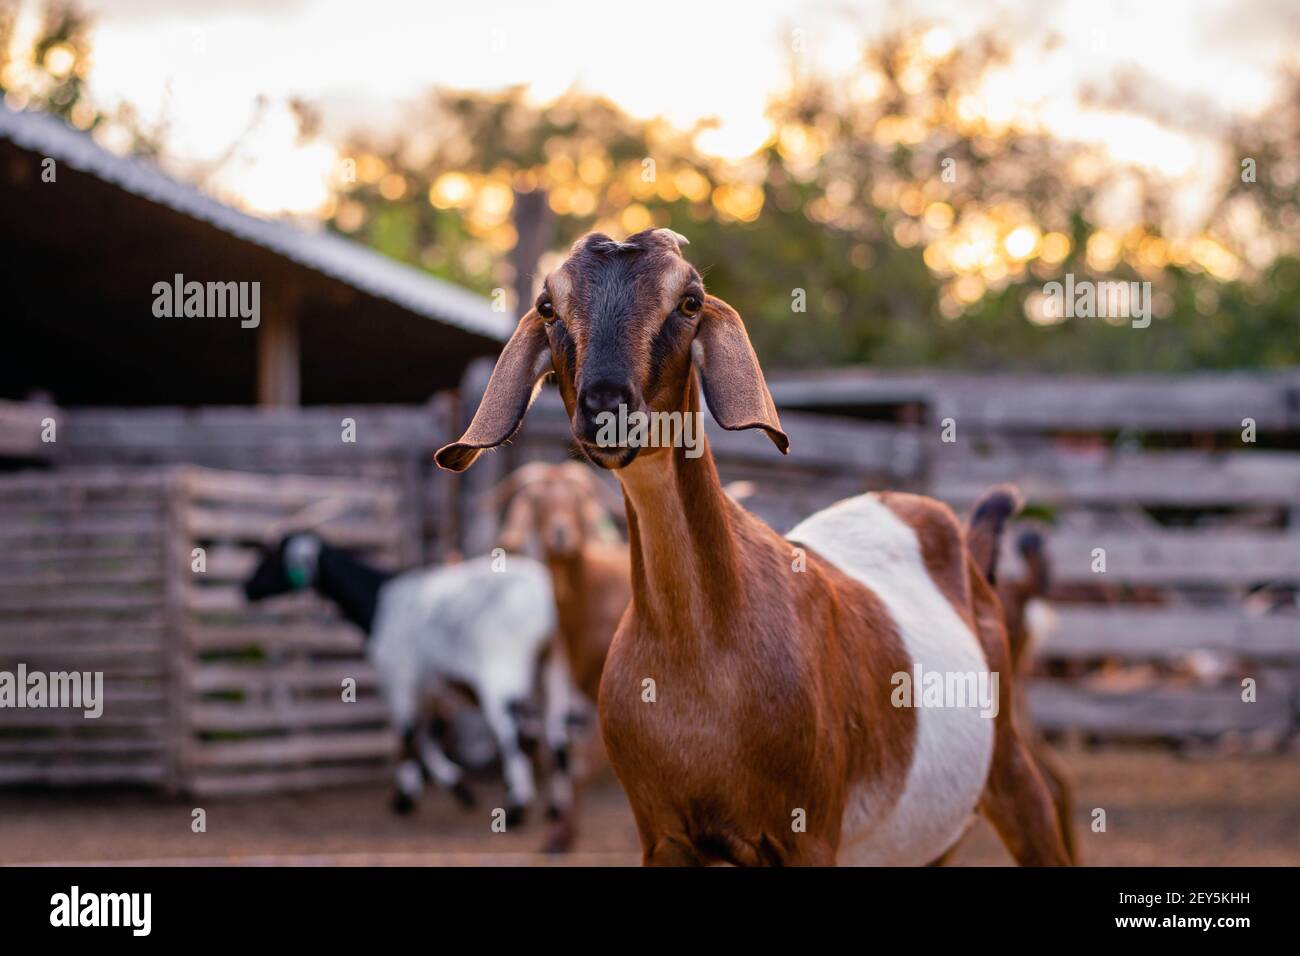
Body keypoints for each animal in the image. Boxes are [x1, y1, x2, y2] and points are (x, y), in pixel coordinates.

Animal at [243, 523, 557, 825]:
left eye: (272, 556)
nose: (246, 588)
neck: (378, 599)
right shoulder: (430, 686)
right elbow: (426, 734)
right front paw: (458, 788)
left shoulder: (399, 678)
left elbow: (408, 734)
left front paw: (407, 798)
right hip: (548, 675)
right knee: (548, 731)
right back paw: (551, 806)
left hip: (499, 675)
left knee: (514, 734)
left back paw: (516, 807)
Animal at [436, 228, 1070, 866]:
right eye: (548, 308)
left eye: (690, 302)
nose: (606, 404)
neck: (700, 647)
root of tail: (967, 547)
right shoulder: (662, 836)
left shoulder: (808, 834)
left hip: (1009, 766)